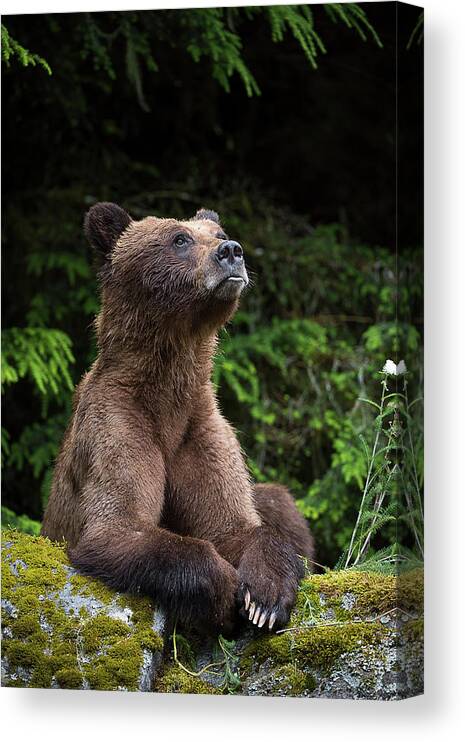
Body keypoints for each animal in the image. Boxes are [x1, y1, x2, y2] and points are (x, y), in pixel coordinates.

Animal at [41, 202, 314, 632]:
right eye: (179, 239)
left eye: (219, 235)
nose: (232, 252)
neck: (167, 397)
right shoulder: (118, 423)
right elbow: (118, 526)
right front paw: (224, 592)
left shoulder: (199, 428)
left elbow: (236, 525)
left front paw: (265, 598)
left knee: (278, 500)